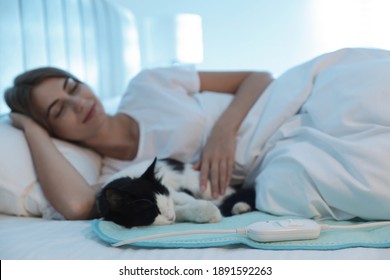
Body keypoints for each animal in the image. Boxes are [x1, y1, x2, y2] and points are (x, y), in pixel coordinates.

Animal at [97, 158, 256, 228]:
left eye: (167, 202)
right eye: (153, 211)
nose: (170, 216)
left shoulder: (173, 192)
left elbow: (187, 200)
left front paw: (205, 210)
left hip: (203, 187)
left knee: (230, 196)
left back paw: (240, 206)